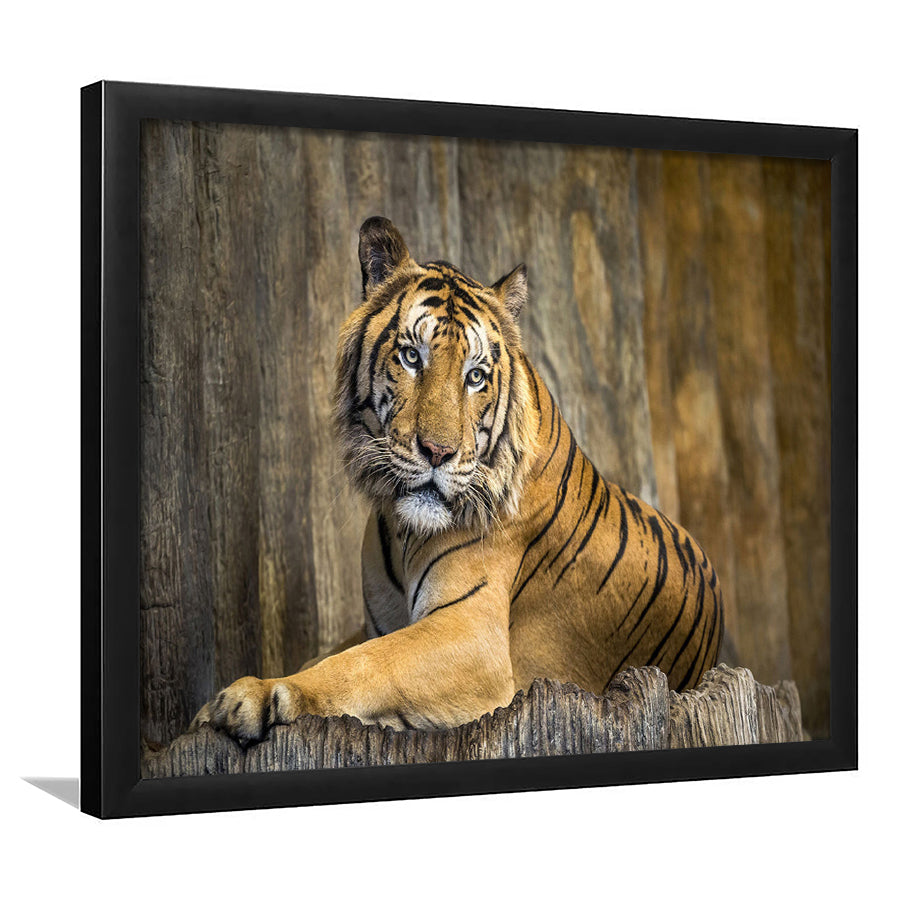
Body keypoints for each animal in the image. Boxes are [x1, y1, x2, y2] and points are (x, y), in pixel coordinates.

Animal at [190, 216, 723, 743]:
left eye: (475, 376)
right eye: (411, 357)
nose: (438, 452)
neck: (403, 533)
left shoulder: (471, 635)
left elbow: (364, 664)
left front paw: (258, 695)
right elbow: (332, 652)